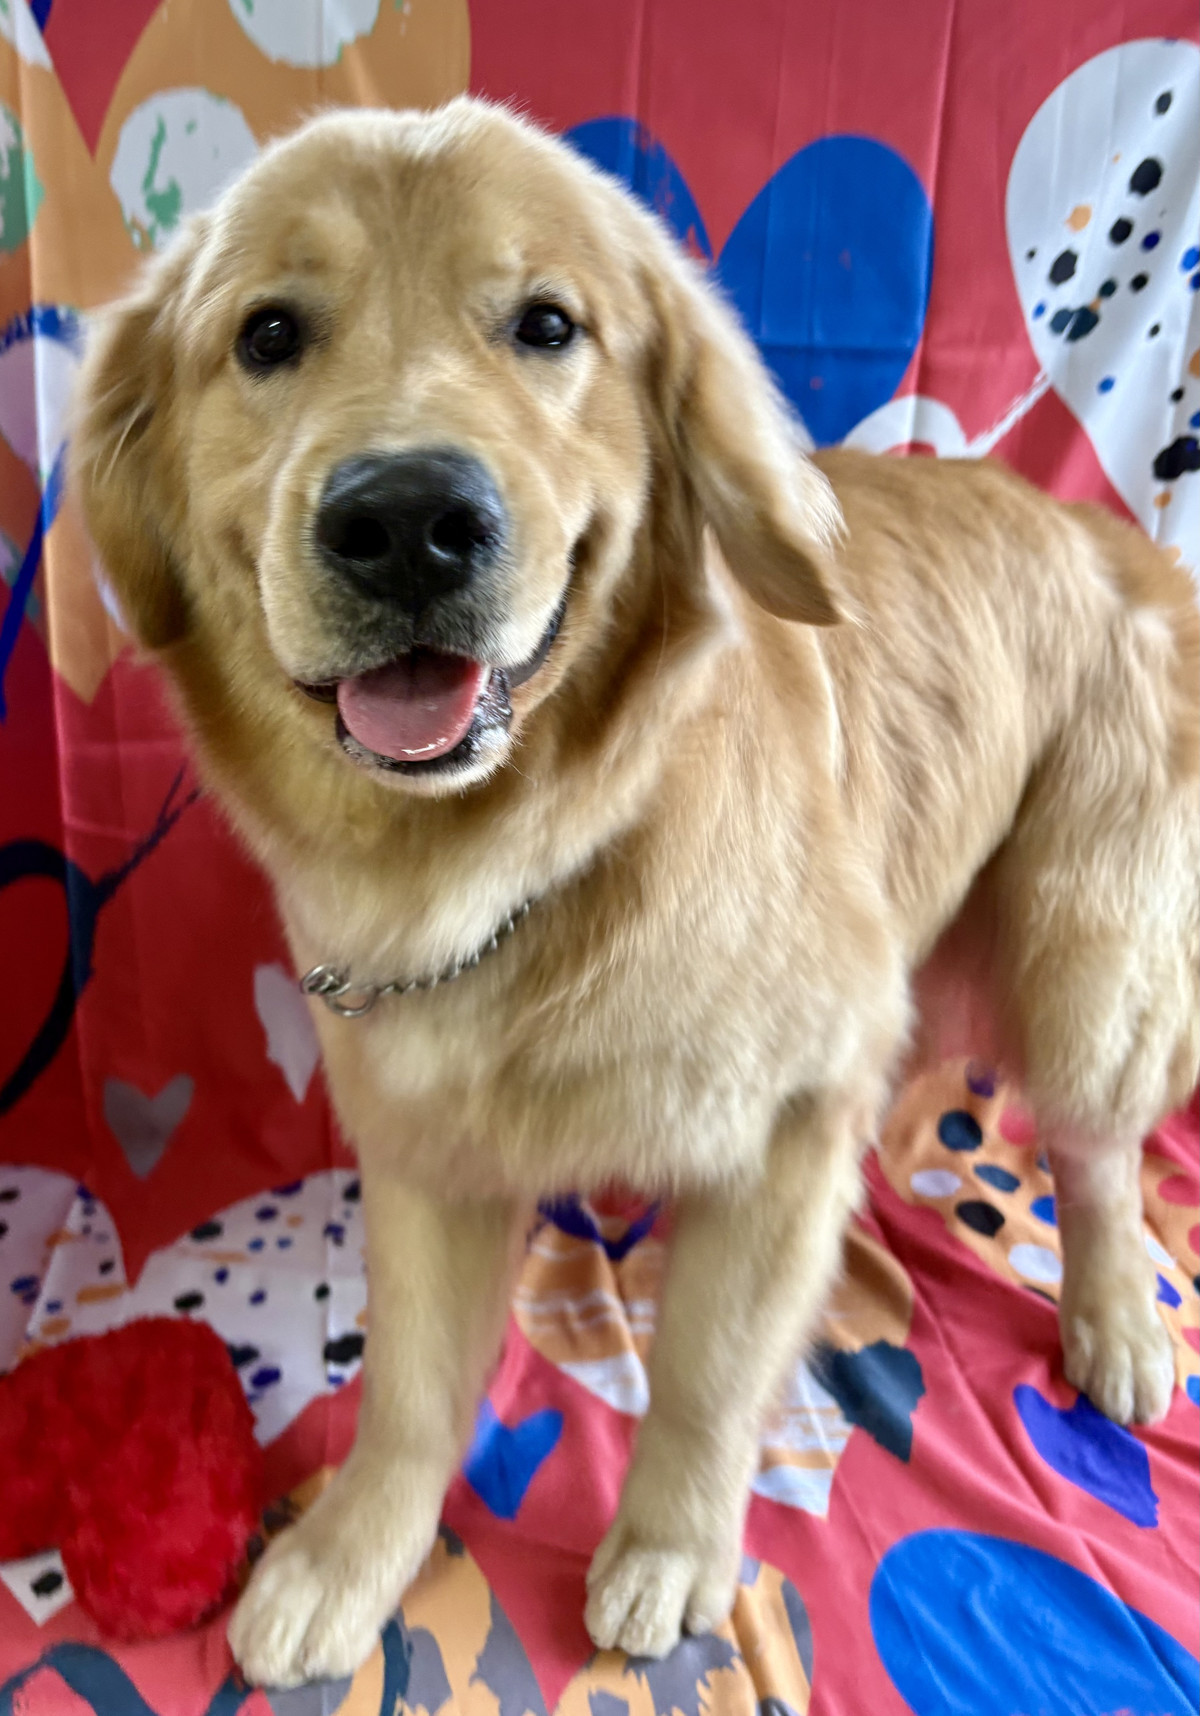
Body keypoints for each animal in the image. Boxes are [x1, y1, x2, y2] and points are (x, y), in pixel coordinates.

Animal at [71, 97, 1199, 1687]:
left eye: (548, 324)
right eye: (268, 334)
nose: (407, 520)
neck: (532, 857)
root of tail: (1107, 531)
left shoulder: (787, 1127)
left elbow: (709, 1374)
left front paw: (670, 1546)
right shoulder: (424, 1148)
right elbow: (411, 1388)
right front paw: (353, 1557)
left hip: (1087, 961)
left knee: (1101, 1157)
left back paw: (1117, 1324)